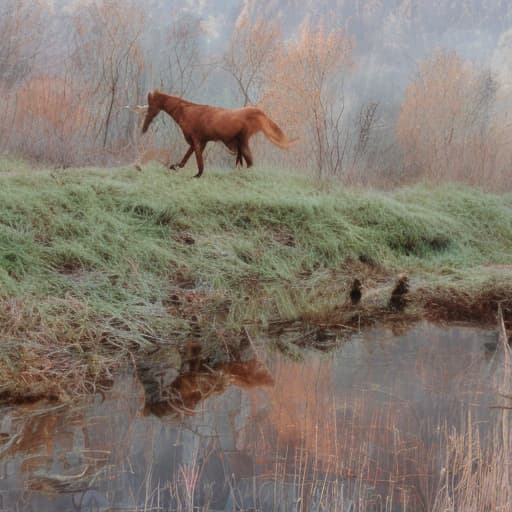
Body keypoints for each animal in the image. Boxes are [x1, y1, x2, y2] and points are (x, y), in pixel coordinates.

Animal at [141, 91, 292, 179]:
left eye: (151, 106)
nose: (144, 127)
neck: (185, 111)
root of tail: (256, 113)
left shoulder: (197, 139)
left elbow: (198, 161)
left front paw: (197, 175)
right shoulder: (199, 141)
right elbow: (186, 158)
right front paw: (175, 166)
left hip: (242, 141)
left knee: (250, 162)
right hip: (241, 143)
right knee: (249, 162)